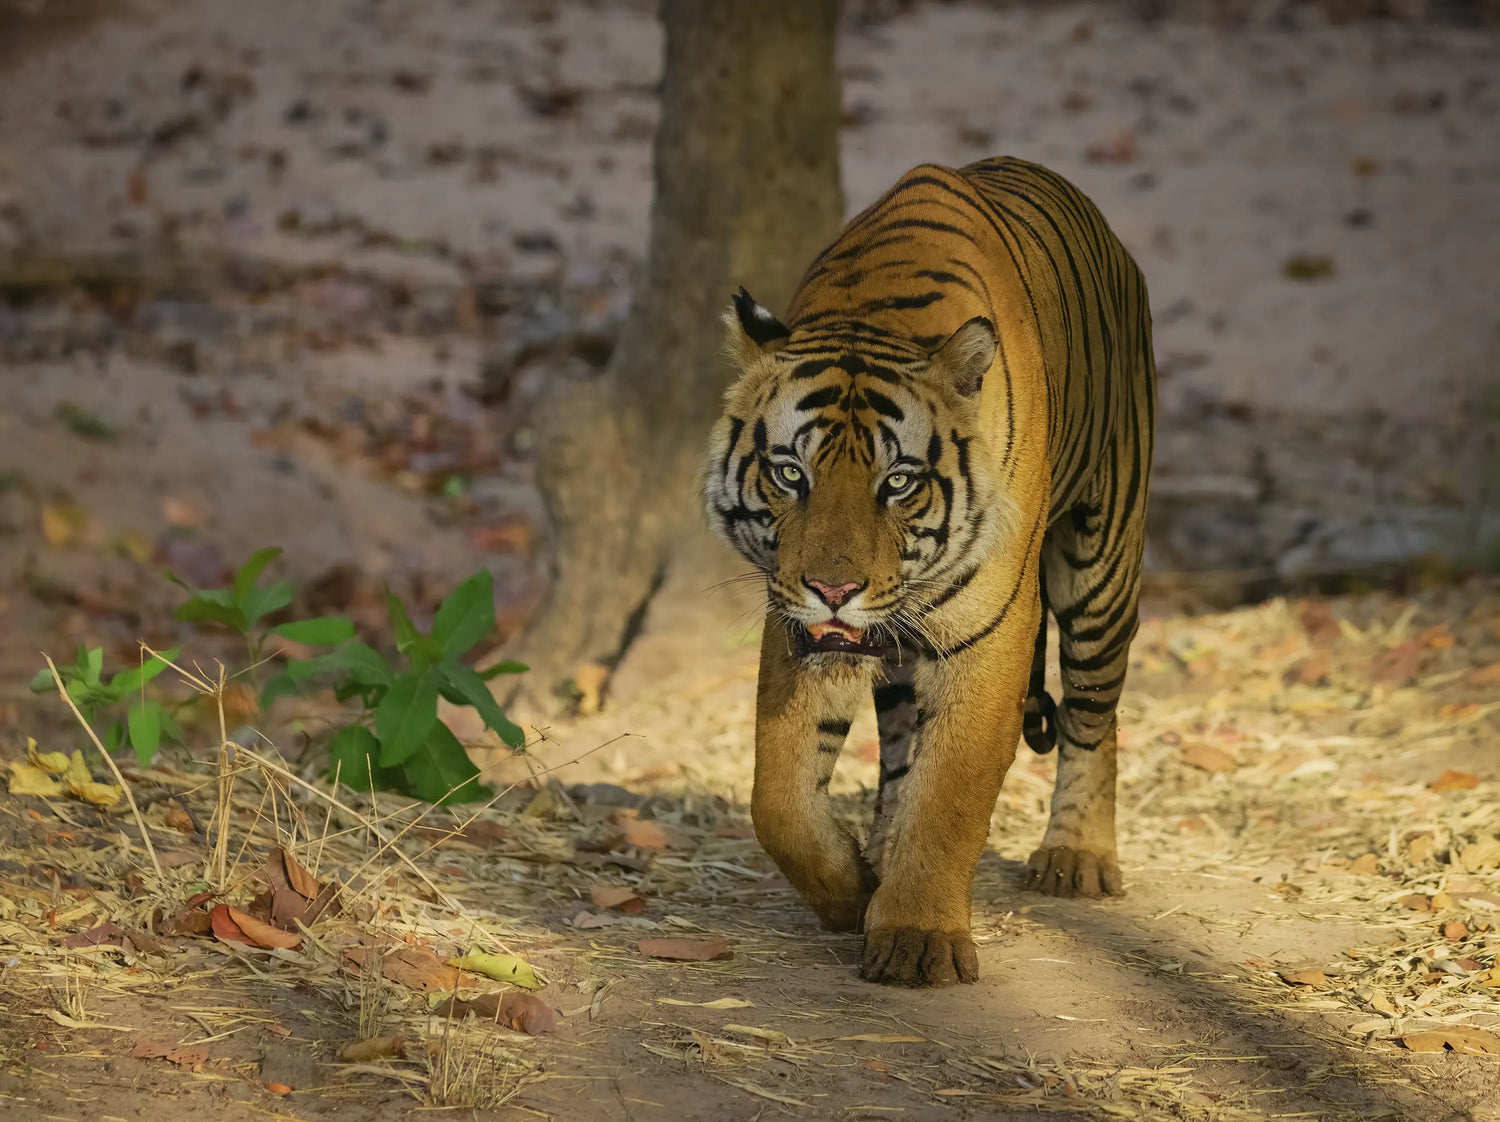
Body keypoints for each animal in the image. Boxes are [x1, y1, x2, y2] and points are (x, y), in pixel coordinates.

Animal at [700, 156, 1156, 987]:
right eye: (790, 474)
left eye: (900, 482)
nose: (835, 591)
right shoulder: (796, 626)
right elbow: (779, 798)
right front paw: (854, 891)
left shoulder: (992, 631)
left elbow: (949, 795)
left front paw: (917, 939)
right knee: (899, 747)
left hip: (1100, 570)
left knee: (1093, 715)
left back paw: (1076, 857)